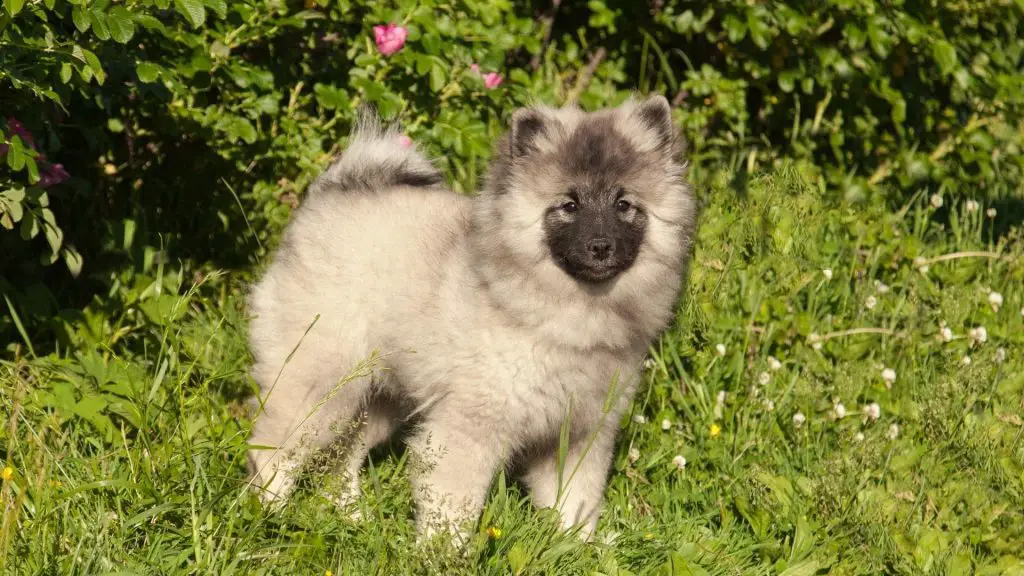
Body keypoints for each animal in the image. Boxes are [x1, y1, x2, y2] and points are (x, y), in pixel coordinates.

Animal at [244, 95, 700, 541]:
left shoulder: (579, 436)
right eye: (569, 206)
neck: (572, 310)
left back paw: (350, 519)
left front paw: (573, 549)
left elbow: (575, 505)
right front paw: (443, 554)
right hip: (323, 383)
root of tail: (331, 193)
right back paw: (270, 515)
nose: (601, 246)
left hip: (375, 398)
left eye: (624, 205)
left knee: (340, 459)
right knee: (273, 448)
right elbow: (454, 508)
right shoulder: (469, 429)